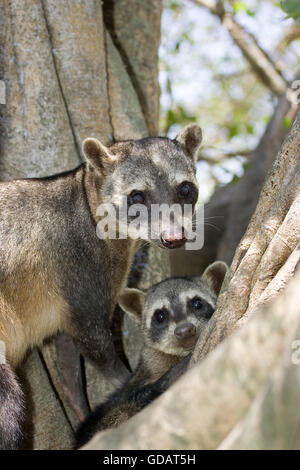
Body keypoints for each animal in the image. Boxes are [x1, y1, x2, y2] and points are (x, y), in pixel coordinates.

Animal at [0, 124, 203, 448]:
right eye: (137, 196)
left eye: (185, 189)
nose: (174, 238)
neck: (86, 193)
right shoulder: (81, 267)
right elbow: (95, 342)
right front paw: (125, 381)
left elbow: (68, 360)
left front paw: (79, 406)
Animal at [75, 260, 227, 448]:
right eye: (160, 315)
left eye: (197, 303)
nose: (184, 330)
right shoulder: (139, 383)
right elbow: (140, 396)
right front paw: (177, 371)